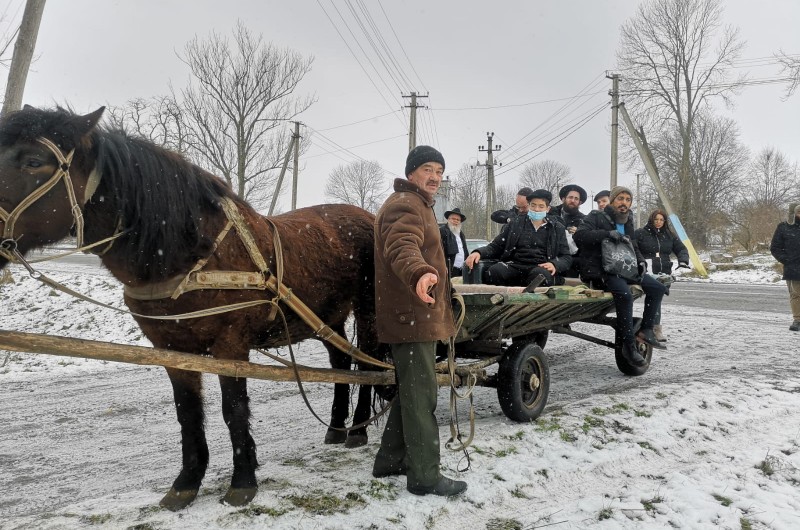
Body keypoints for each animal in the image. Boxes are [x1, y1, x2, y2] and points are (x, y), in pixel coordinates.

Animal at [0, 106, 382, 508]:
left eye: (33, 161)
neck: (193, 256)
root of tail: (368, 217)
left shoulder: (230, 345)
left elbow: (234, 409)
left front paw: (242, 481)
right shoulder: (171, 349)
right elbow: (188, 413)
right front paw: (186, 482)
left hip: (368, 311)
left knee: (369, 366)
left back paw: (358, 430)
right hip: (326, 317)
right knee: (341, 363)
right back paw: (337, 428)